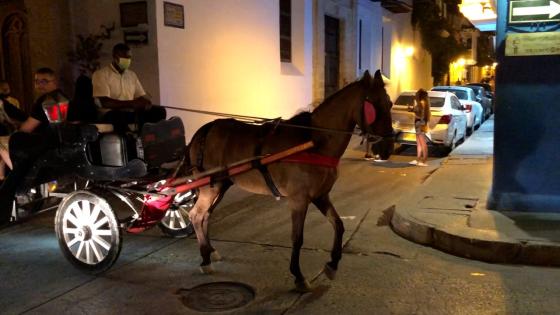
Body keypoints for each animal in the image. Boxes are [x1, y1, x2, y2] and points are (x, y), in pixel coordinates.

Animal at [186, 69, 392, 292]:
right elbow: (297, 237)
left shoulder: (320, 196)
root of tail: (204, 130)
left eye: (389, 103)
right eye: (373, 104)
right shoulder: (299, 199)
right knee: (196, 215)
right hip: (209, 187)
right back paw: (205, 259)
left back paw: (210, 251)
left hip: (220, 186)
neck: (313, 142)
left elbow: (338, 225)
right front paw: (299, 276)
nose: (388, 147)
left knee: (206, 215)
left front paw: (332, 265)